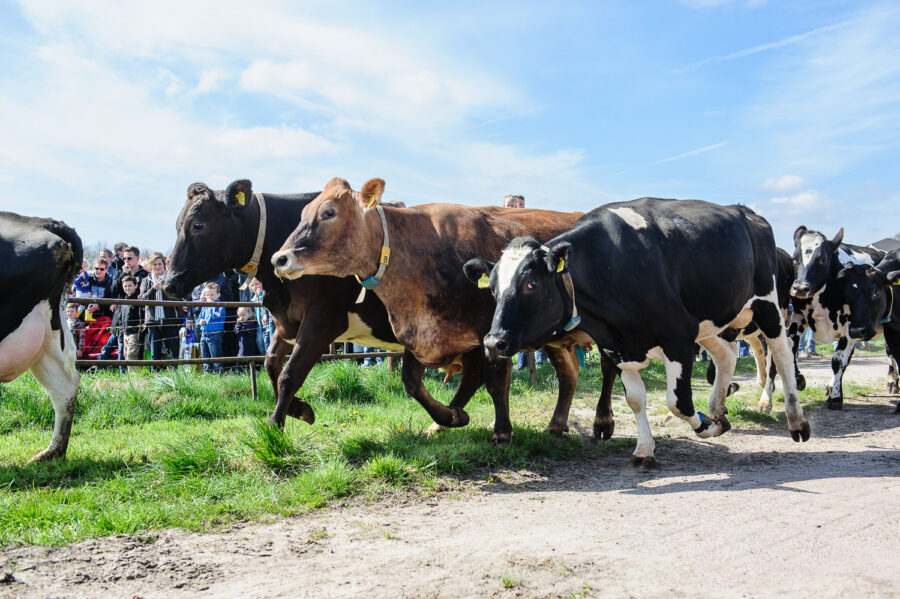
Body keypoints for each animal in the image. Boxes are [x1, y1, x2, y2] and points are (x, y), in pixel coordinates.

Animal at [164, 180, 506, 434]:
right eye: (178, 224)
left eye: (197, 225)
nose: (168, 283)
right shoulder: (287, 321)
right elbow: (271, 366)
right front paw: (299, 409)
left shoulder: (322, 321)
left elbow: (289, 374)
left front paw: (275, 427)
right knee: (473, 375)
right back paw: (448, 418)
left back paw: (451, 418)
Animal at [270, 176, 616, 442]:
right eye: (303, 212)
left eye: (329, 212)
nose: (279, 258)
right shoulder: (420, 332)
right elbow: (412, 382)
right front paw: (450, 417)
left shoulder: (492, 333)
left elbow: (495, 381)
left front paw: (501, 431)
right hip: (557, 337)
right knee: (569, 372)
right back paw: (556, 424)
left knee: (609, 367)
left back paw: (603, 422)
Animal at [464, 199, 808, 466]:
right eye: (492, 288)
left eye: (530, 284)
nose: (493, 342)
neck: (609, 266)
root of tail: (745, 211)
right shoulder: (618, 345)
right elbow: (635, 400)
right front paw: (644, 450)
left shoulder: (677, 335)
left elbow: (678, 402)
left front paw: (705, 427)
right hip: (711, 321)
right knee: (728, 354)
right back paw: (718, 409)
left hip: (769, 305)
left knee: (781, 355)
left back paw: (795, 421)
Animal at [788, 227, 884, 410]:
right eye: (794, 258)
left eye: (822, 259)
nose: (800, 288)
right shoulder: (798, 317)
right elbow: (790, 348)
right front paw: (799, 379)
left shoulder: (851, 329)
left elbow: (838, 361)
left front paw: (836, 397)